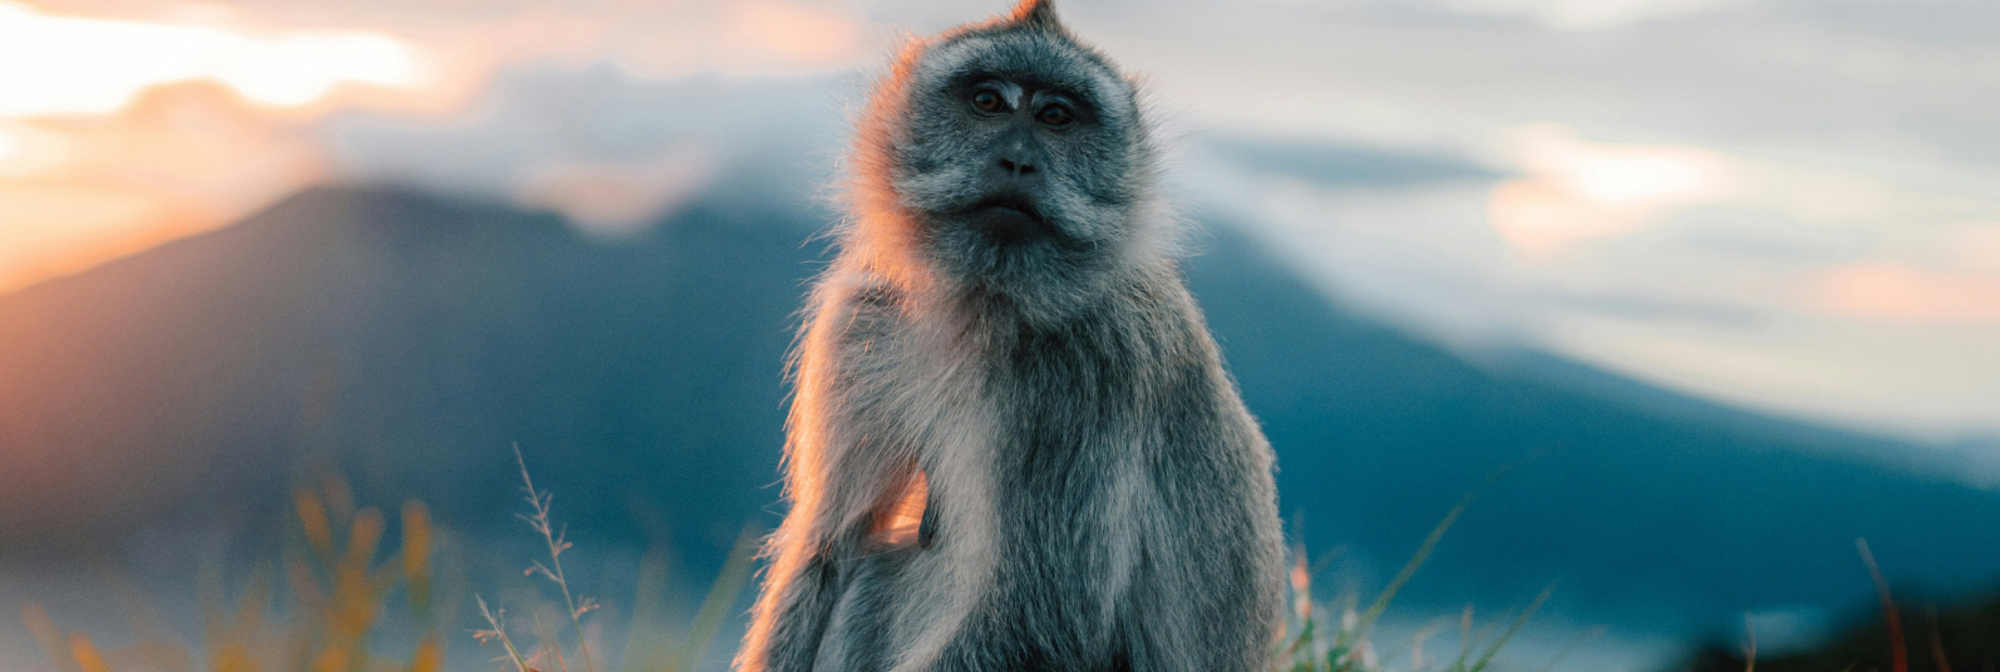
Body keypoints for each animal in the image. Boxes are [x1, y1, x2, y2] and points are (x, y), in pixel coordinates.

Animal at [736, 1, 1280, 672]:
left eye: (1056, 116)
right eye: (988, 101)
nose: (1018, 162)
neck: (984, 305)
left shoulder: (1087, 370)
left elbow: (1040, 615)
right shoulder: (863, 320)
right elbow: (827, 548)